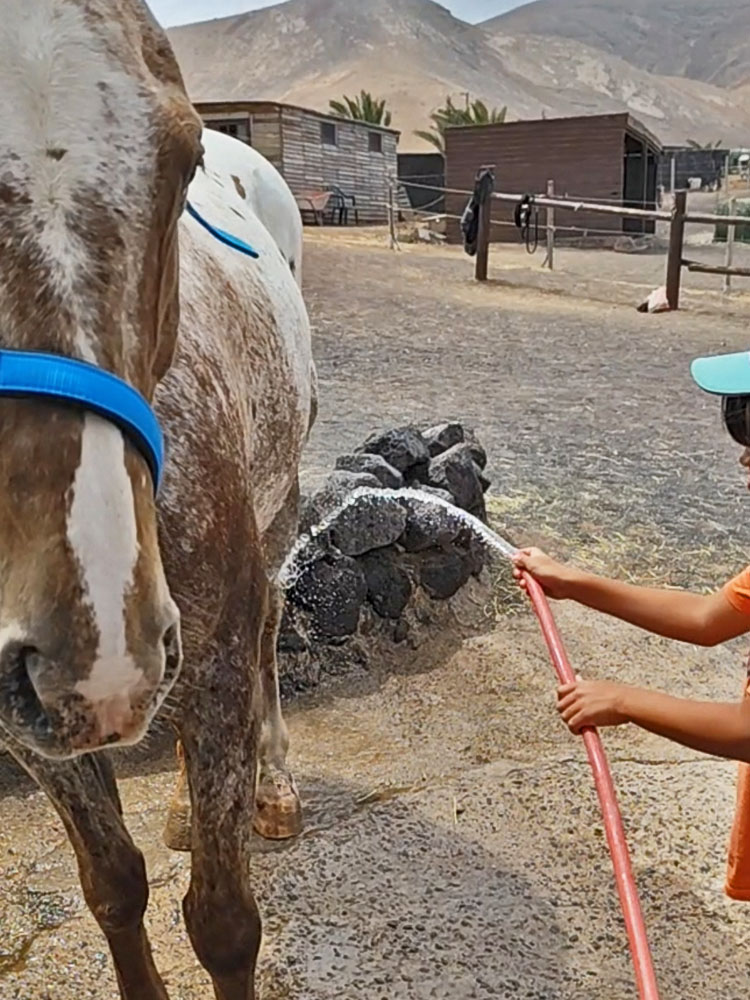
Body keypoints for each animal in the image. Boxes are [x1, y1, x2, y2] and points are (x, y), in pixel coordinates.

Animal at [0, 3, 315, 998]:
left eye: (179, 161)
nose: (96, 644)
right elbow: (112, 885)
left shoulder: (211, 658)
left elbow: (222, 923)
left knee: (270, 627)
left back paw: (270, 786)